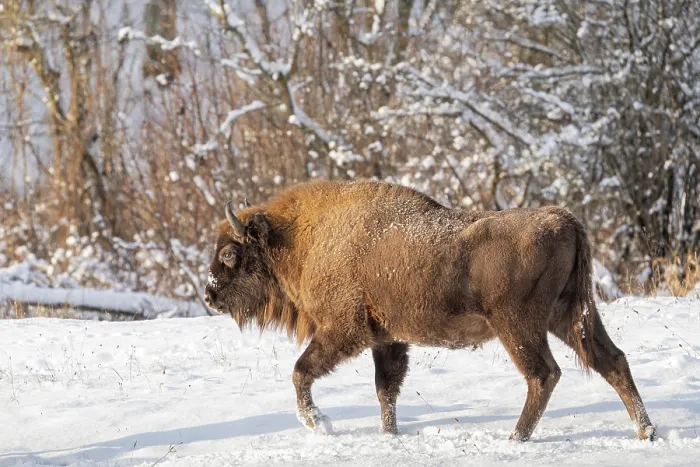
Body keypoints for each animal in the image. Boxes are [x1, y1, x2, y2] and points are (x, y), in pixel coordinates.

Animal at [204, 180, 655, 441]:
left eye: (229, 253)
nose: (208, 296)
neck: (301, 237)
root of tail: (564, 220)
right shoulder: (386, 340)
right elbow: (386, 389)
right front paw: (390, 435)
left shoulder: (344, 330)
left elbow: (301, 371)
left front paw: (318, 423)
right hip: (570, 316)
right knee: (612, 361)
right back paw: (646, 431)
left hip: (519, 326)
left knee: (544, 374)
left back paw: (516, 438)